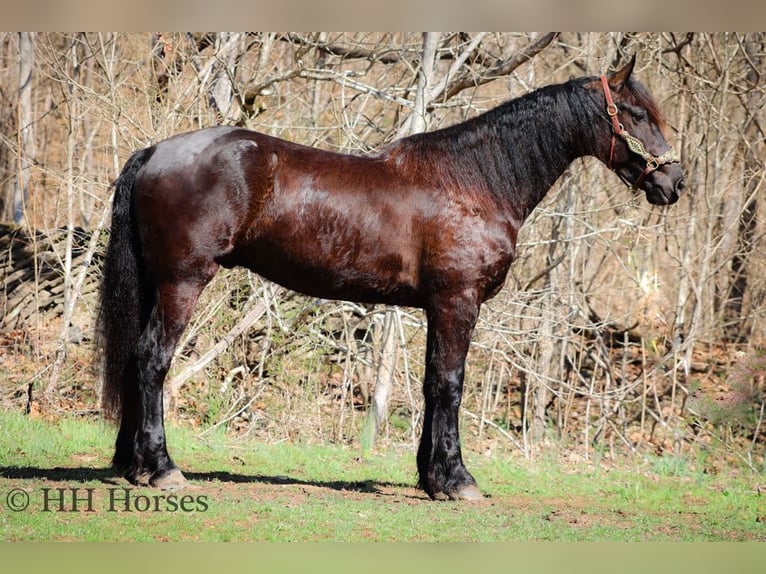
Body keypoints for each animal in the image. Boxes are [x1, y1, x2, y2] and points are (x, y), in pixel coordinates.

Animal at [96, 55, 685, 501]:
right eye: (636, 114)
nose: (674, 182)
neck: (476, 182)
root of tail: (157, 151)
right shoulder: (458, 302)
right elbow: (450, 385)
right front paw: (458, 481)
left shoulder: (437, 307)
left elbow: (430, 384)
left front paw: (431, 478)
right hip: (183, 283)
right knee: (151, 359)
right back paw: (163, 468)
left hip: (156, 283)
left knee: (134, 358)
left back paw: (133, 465)